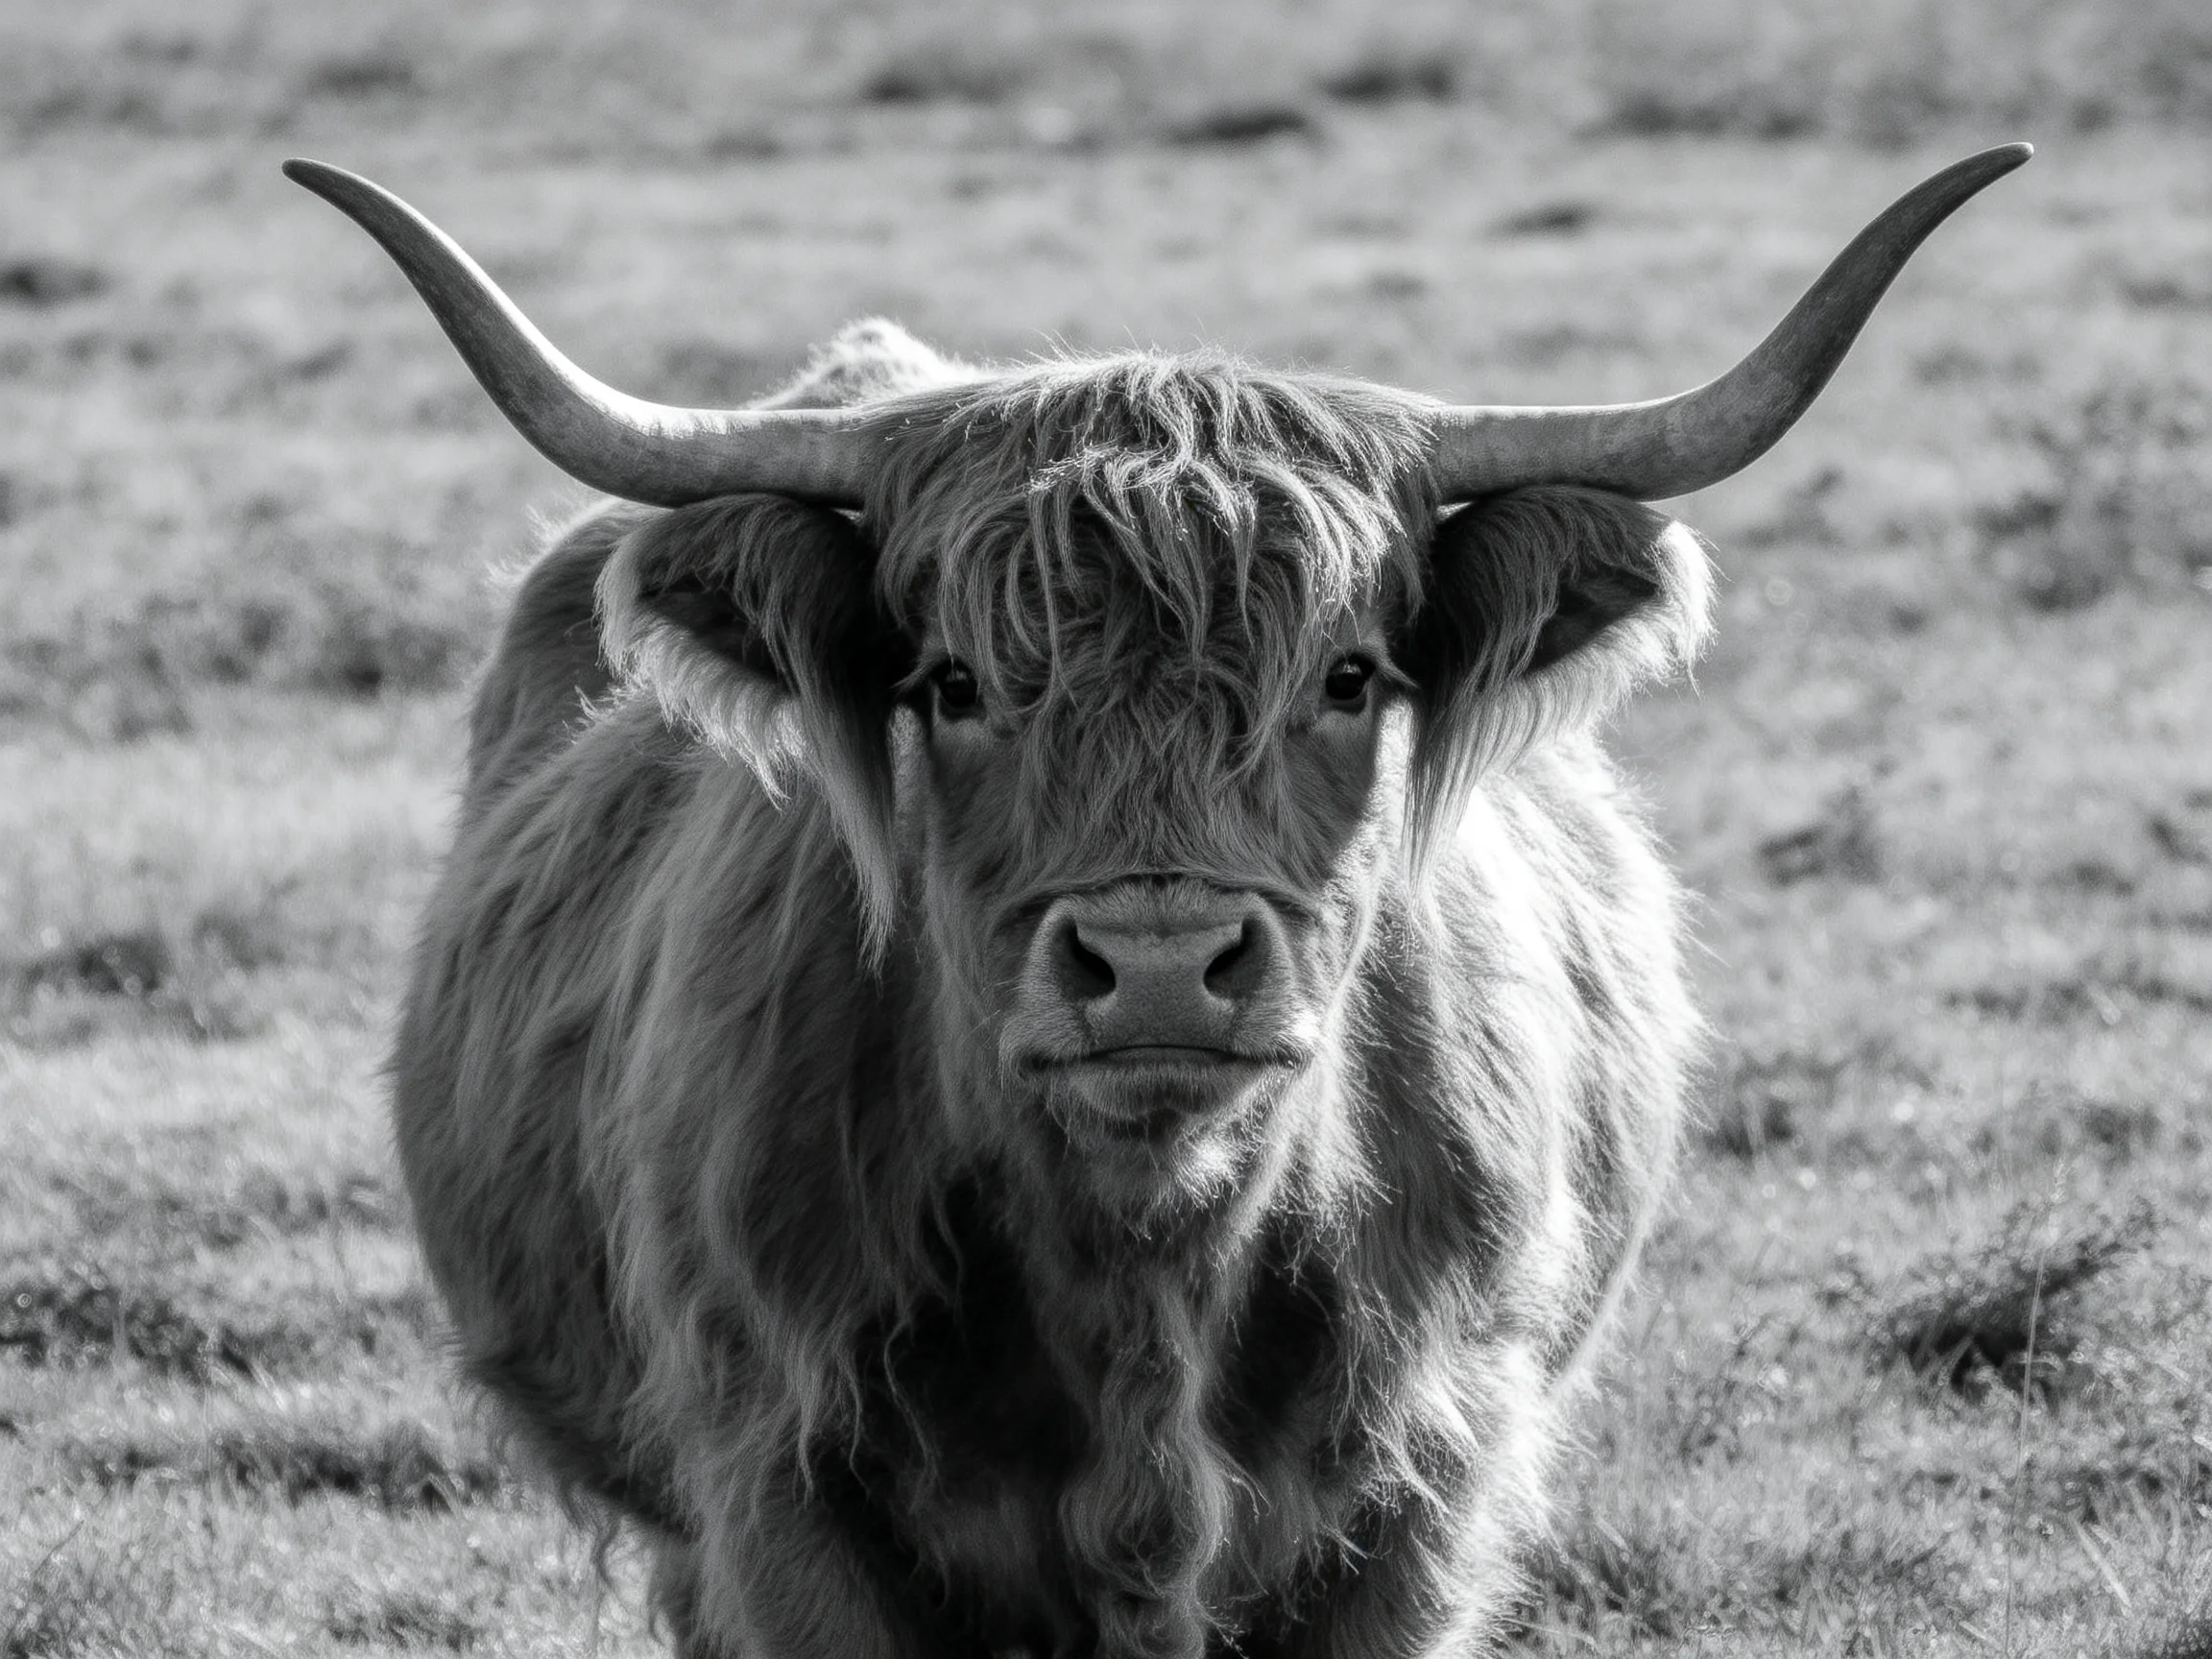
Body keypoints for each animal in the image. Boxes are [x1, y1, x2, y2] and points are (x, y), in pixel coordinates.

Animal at [288, 145, 2027, 1658]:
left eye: (1348, 676)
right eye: (953, 683)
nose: (1160, 963)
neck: (1147, 1264)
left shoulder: (1424, 1496)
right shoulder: (774, 1490)